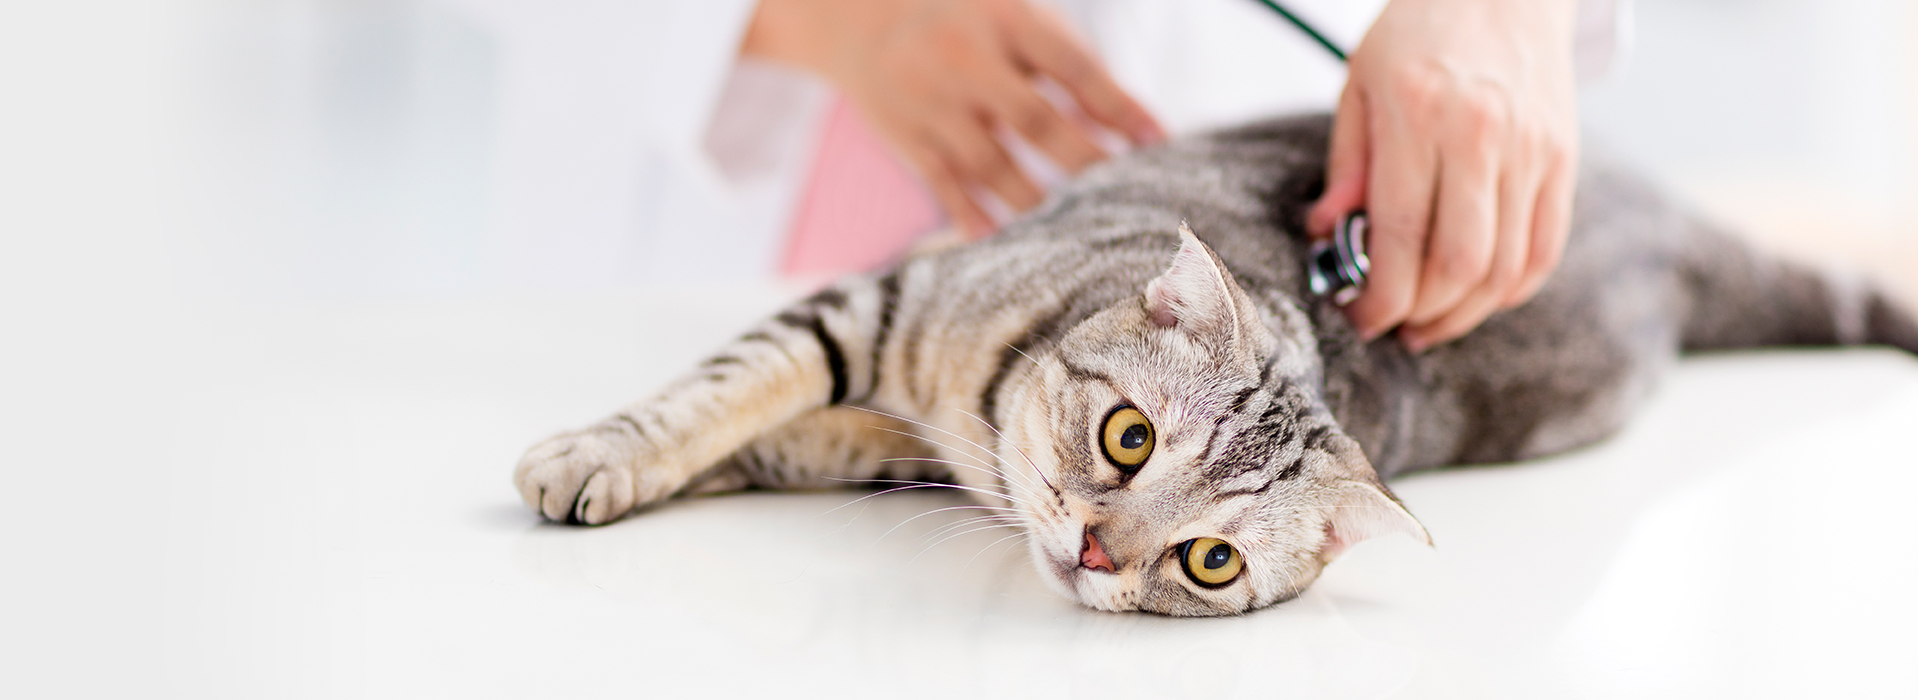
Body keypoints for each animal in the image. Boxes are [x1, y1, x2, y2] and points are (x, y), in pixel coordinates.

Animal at [510, 114, 1918, 617]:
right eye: (1129, 435)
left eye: (1209, 561)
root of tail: (1652, 216)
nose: (1093, 552)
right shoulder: (879, 302)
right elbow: (725, 388)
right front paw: (601, 453)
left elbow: (770, 428)